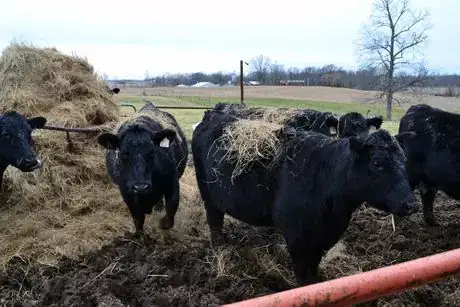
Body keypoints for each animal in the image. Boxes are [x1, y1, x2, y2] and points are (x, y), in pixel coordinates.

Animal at [97, 102, 189, 235]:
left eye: (152, 153)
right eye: (123, 154)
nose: (141, 186)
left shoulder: (172, 182)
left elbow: (171, 208)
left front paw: (161, 224)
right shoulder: (126, 191)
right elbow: (137, 218)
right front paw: (139, 235)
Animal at [192, 111, 418, 286]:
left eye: (404, 159)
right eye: (377, 163)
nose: (411, 204)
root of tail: (211, 117)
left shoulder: (322, 238)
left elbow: (313, 273)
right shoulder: (297, 239)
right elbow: (303, 278)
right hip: (207, 195)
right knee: (214, 222)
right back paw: (220, 250)